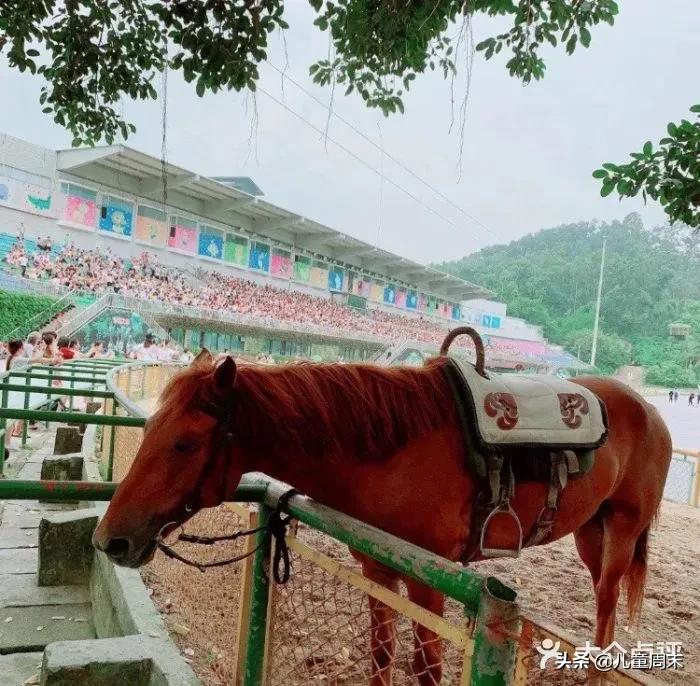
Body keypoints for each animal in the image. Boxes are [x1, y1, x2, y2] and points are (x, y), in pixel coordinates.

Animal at [93, 349, 672, 685]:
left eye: (186, 443)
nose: (110, 540)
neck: (390, 451)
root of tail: (649, 410)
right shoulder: (376, 567)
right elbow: (380, 654)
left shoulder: (431, 581)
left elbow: (426, 665)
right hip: (590, 531)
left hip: (622, 529)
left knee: (606, 603)